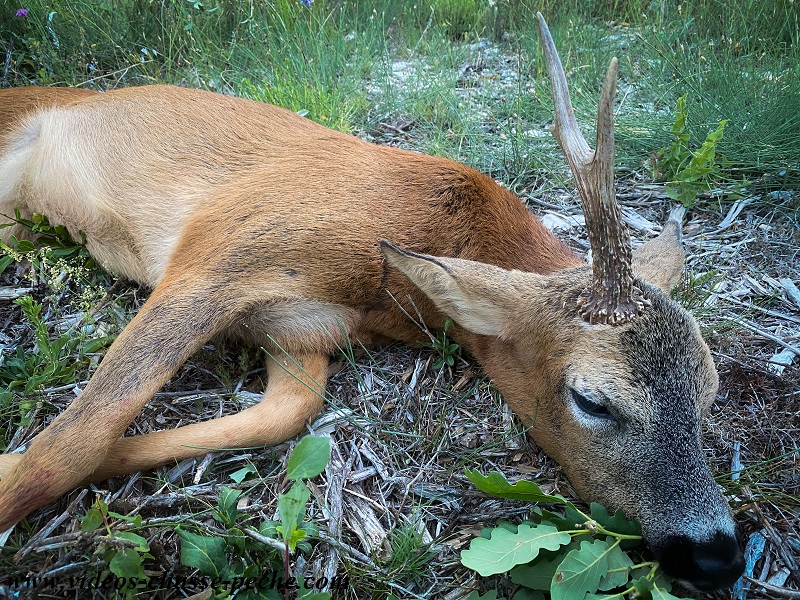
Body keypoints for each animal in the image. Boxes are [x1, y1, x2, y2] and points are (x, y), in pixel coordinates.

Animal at [0, 14, 744, 592]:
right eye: (593, 400)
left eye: (711, 393)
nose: (717, 556)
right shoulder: (217, 252)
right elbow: (71, 442)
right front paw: (16, 473)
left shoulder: (300, 332)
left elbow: (285, 416)